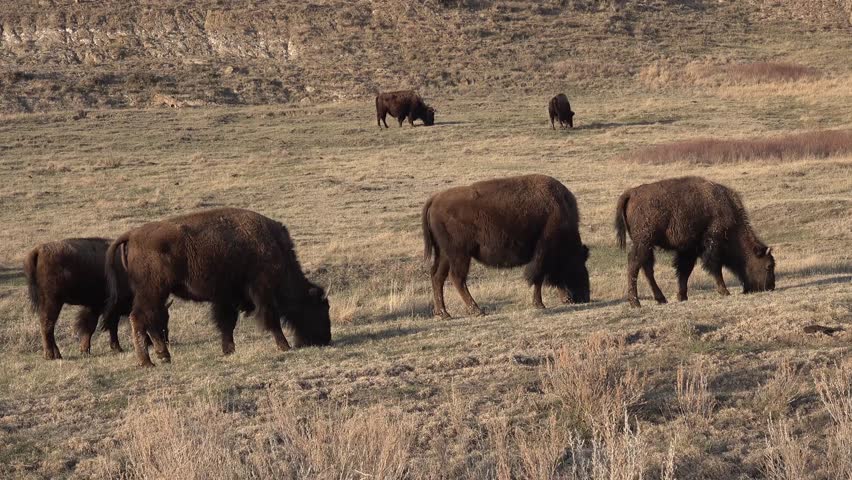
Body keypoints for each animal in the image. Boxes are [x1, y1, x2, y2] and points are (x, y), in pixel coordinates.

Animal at [104, 208, 330, 367]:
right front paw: (285, 346)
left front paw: (228, 350)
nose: (325, 339)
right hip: (152, 292)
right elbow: (270, 319)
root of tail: (132, 235)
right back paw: (147, 362)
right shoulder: (262, 292)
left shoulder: (226, 298)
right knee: (139, 318)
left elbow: (227, 323)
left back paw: (163, 357)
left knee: (150, 320)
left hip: (157, 294)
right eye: (318, 308)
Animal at [422, 174, 590, 318]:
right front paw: (540, 304)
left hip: (445, 254)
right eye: (578, 264)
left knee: (437, 277)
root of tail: (435, 199)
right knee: (457, 278)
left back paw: (444, 314)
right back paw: (477, 311)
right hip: (460, 254)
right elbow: (538, 278)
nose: (585, 297)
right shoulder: (542, 254)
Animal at [615, 176, 775, 307]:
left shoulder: (689, 249)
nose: (771, 287)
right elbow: (715, 268)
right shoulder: (711, 245)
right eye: (768, 266)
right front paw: (724, 291)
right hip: (644, 242)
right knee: (634, 264)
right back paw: (635, 303)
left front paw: (682, 296)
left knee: (647, 268)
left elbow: (685, 271)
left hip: (648, 245)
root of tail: (631, 193)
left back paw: (661, 299)